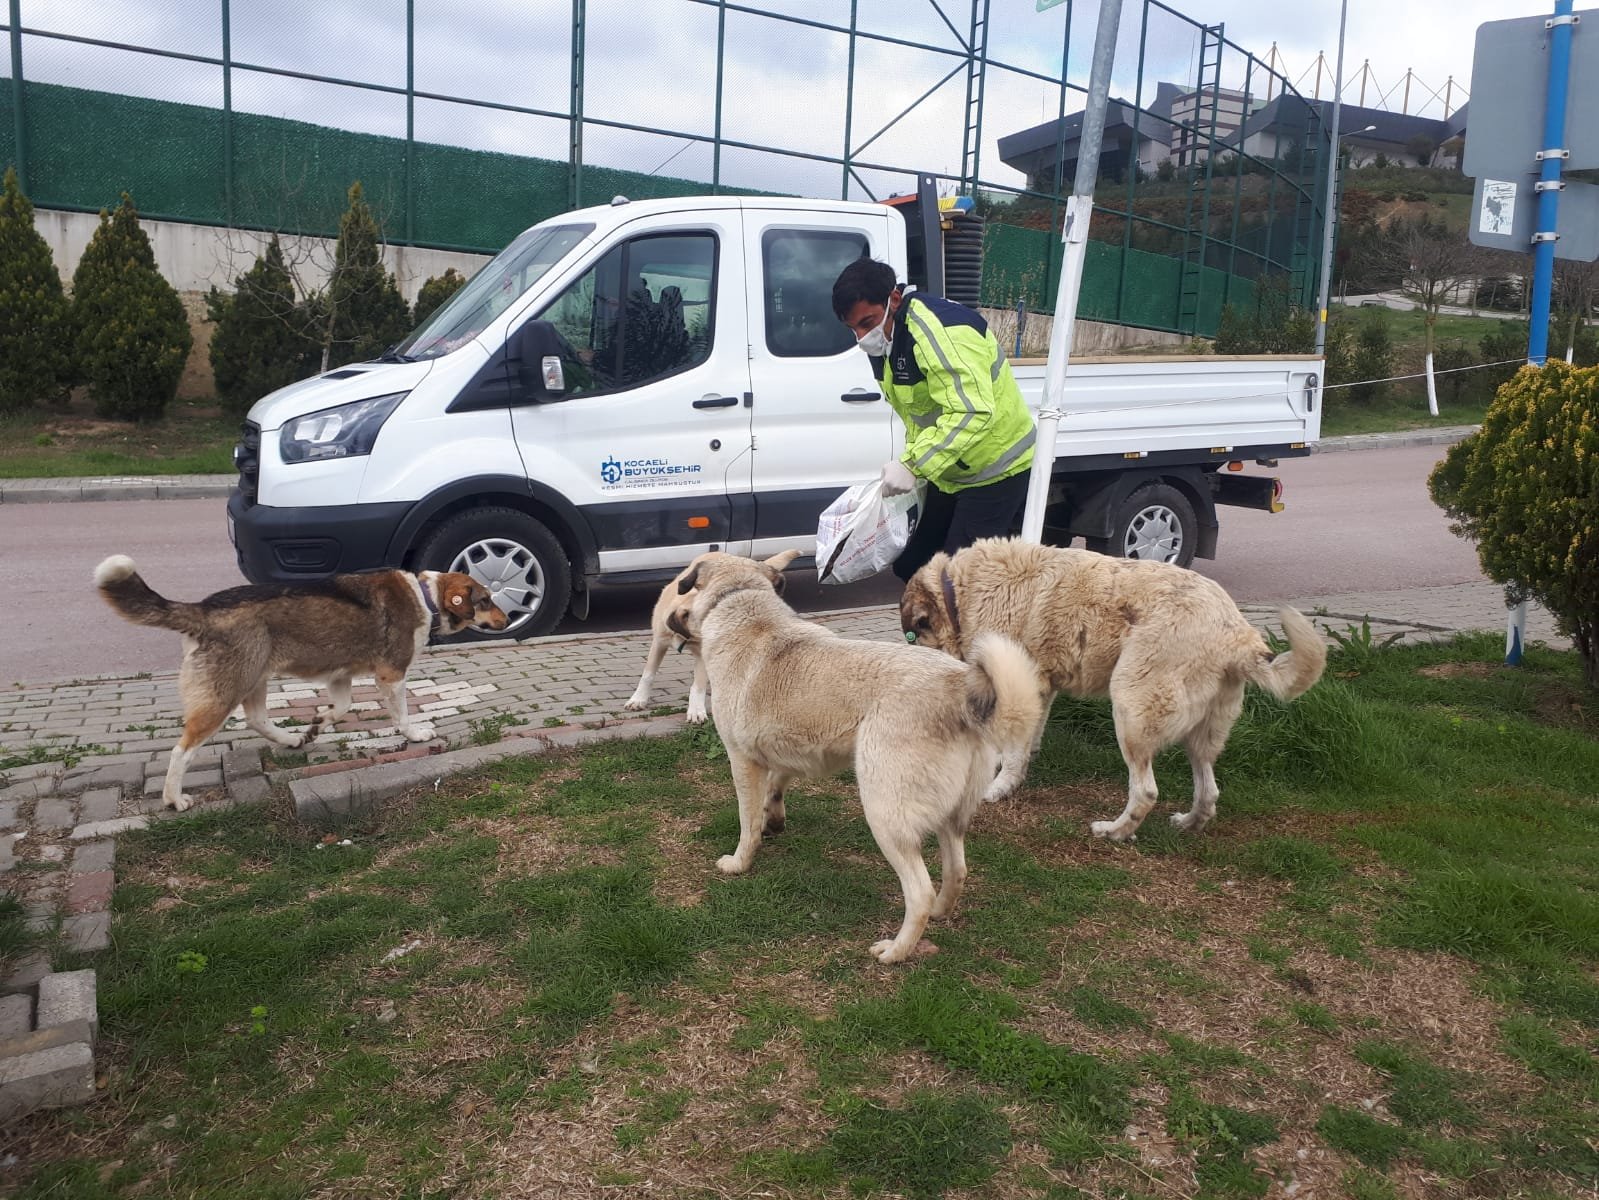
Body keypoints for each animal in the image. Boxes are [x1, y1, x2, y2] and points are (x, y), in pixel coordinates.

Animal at [95, 560, 505, 812]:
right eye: (486, 600)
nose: (507, 620)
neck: (425, 597)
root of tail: (203, 609)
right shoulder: (391, 675)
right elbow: (402, 716)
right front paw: (416, 734)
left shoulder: (341, 676)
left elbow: (339, 708)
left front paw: (317, 724)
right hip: (225, 694)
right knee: (182, 751)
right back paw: (173, 798)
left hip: (256, 679)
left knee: (257, 719)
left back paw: (292, 739)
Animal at [623, 553, 799, 729]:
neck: (687, 636)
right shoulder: (659, 642)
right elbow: (648, 674)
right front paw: (638, 699)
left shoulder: (704, 655)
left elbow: (698, 685)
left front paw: (696, 710)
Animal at [668, 550, 1042, 966]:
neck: (740, 599)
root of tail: (960, 686)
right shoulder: (790, 752)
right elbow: (776, 787)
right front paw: (774, 820)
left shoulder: (742, 761)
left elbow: (747, 822)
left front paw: (740, 862)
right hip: (950, 815)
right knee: (957, 870)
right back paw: (940, 913)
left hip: (884, 814)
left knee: (919, 891)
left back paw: (895, 951)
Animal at [908, 544, 1330, 844]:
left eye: (913, 635)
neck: (958, 594)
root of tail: (1236, 631)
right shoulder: (1041, 690)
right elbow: (1025, 741)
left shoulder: (1025, 682)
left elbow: (1011, 747)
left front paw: (998, 787)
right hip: (1202, 734)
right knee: (1209, 790)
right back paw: (1189, 824)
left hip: (1130, 710)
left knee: (1145, 791)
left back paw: (1115, 832)